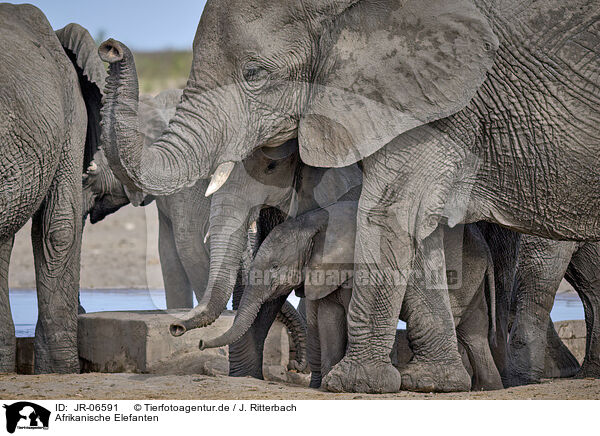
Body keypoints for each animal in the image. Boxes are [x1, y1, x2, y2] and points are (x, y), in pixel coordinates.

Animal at [200, 199, 502, 390]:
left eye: (274, 266)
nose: (201, 342)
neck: (314, 222)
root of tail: (488, 251)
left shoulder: (356, 265)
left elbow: (342, 314)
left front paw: (334, 383)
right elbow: (328, 315)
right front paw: (327, 384)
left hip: (463, 274)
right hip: (473, 277)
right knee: (474, 332)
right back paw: (488, 388)